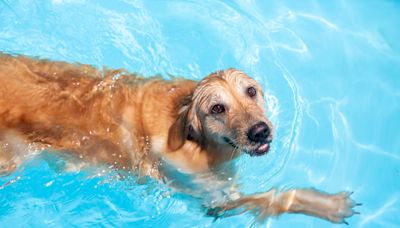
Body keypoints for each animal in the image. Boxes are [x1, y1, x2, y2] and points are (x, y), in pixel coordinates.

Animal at [0, 53, 356, 224]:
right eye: (217, 108)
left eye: (251, 91)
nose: (260, 131)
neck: (195, 142)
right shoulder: (212, 200)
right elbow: (273, 197)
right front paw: (329, 205)